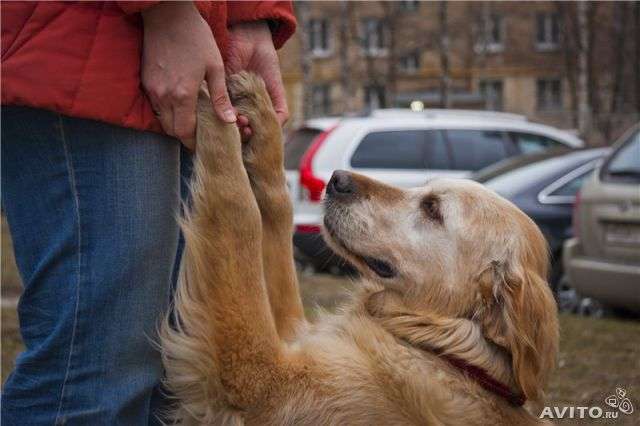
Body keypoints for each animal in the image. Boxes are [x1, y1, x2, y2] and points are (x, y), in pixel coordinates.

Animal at [161, 71, 560, 424]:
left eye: (432, 208)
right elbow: (275, 213)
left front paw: (207, 88)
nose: (337, 180)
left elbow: (238, 210)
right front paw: (261, 118)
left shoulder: (264, 380)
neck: (439, 347)